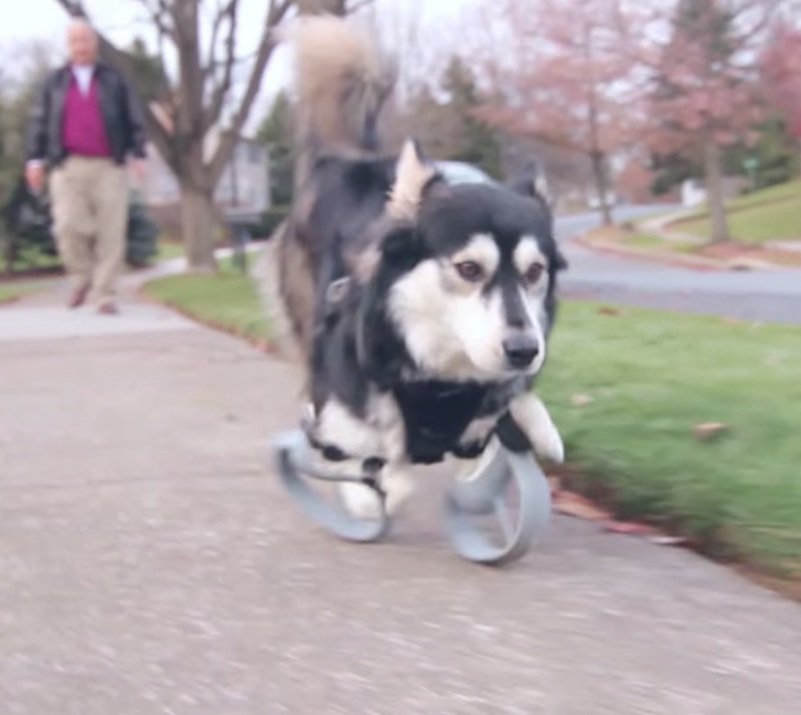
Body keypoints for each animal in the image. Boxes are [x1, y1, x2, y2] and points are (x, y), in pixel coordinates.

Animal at [266, 18, 564, 520]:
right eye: (469, 268)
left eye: (534, 271)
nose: (525, 350)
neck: (441, 376)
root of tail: (342, 160)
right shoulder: (350, 397)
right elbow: (362, 454)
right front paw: (373, 489)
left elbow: (491, 424)